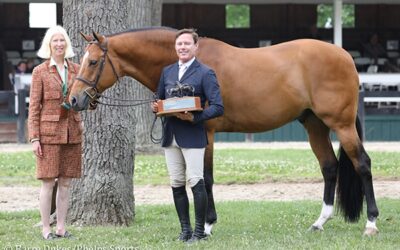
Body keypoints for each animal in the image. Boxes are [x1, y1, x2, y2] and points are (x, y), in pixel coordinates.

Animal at [70, 27, 380, 236]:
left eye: (93, 62)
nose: (73, 99)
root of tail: (344, 55)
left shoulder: (205, 132)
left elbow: (204, 178)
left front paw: (207, 225)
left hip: (341, 124)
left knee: (363, 164)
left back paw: (371, 223)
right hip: (314, 125)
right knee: (329, 167)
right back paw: (320, 222)